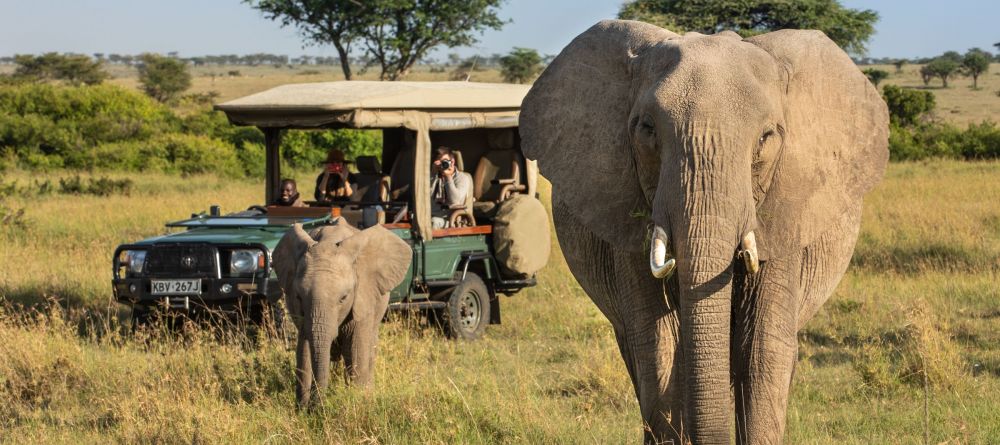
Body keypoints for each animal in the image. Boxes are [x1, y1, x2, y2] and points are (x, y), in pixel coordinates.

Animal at [272, 220, 412, 408]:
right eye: (299, 296)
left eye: (343, 298)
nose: (318, 406)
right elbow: (303, 352)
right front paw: (302, 408)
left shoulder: (363, 296)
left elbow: (356, 348)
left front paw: (359, 403)